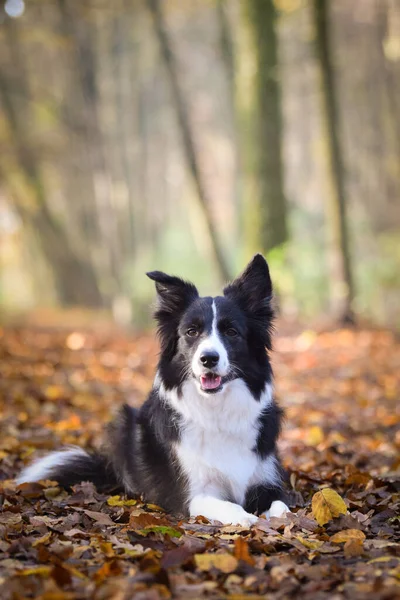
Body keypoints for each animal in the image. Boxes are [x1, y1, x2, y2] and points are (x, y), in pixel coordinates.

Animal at [17, 254, 290, 524]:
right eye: (191, 332)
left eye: (231, 331)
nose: (208, 359)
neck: (217, 412)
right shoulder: (195, 495)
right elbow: (230, 507)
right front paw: (247, 518)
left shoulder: (268, 480)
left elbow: (282, 507)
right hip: (122, 422)